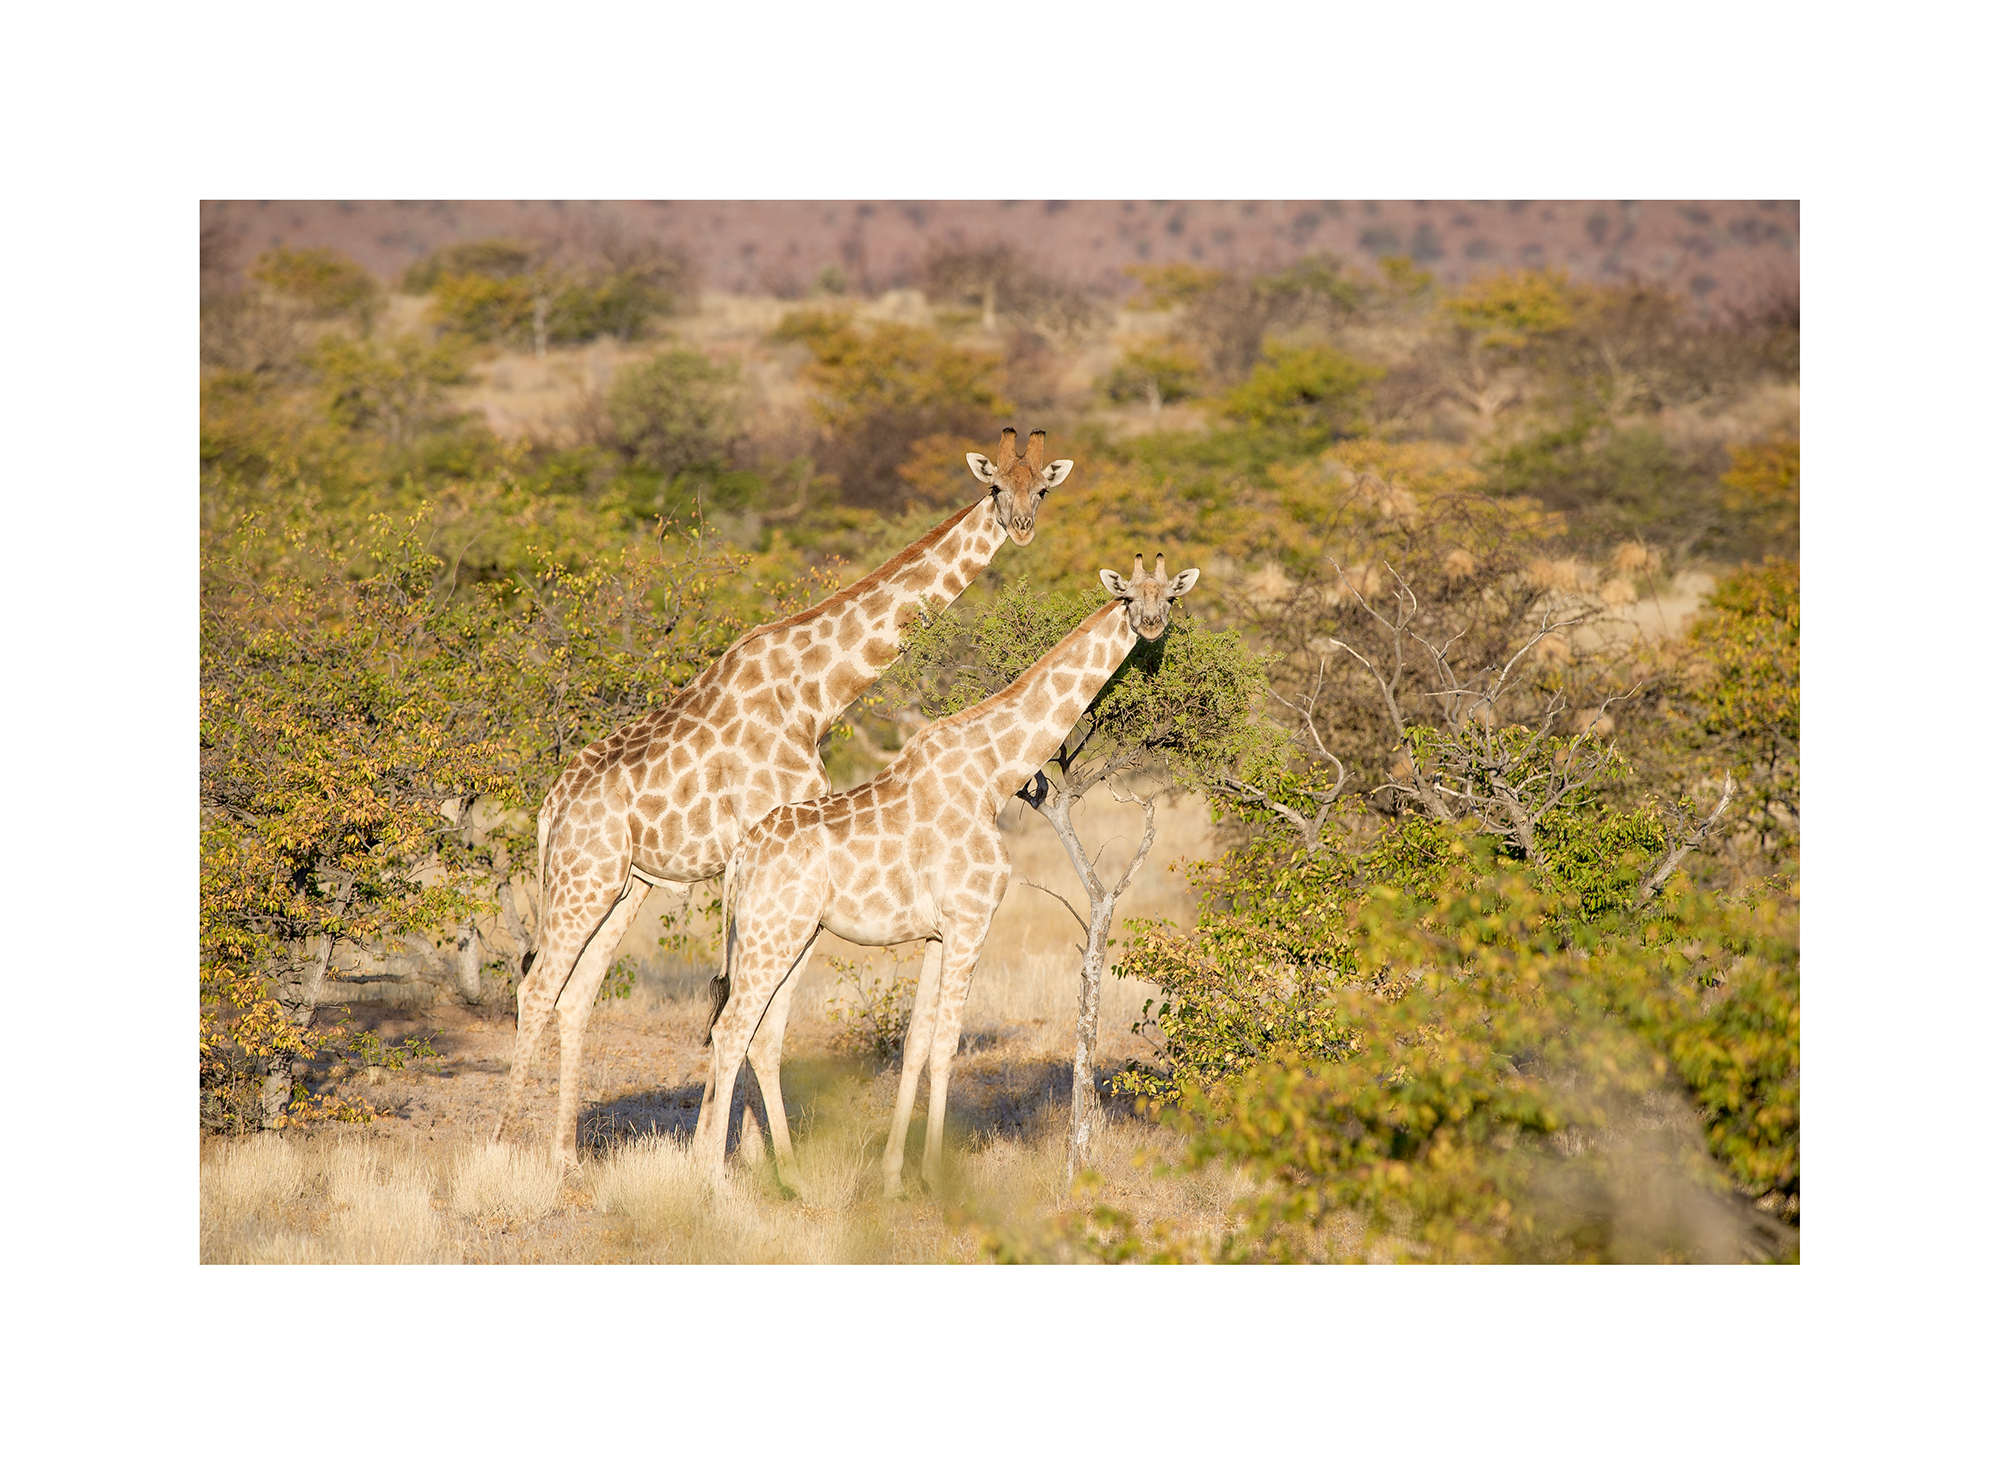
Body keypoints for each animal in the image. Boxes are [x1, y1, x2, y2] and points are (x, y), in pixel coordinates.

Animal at [494, 429, 1074, 1162]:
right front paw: (739, 1156)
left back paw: (566, 1156)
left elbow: (731, 1001)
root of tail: (550, 808)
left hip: (626, 885)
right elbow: (739, 1007)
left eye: (1043, 488)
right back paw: (498, 1149)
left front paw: (734, 1152)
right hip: (584, 876)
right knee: (538, 987)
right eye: (996, 485)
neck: (815, 692)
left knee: (575, 995)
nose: (1022, 528)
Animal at [696, 555, 1200, 1195]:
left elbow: (914, 1045)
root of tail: (740, 856)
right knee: (733, 1030)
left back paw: (794, 1179)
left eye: (1171, 597)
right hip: (775, 934)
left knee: (763, 1036)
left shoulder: (938, 931)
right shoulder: (971, 918)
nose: (1152, 624)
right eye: (1130, 596)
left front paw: (892, 1175)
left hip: (786, 936)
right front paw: (934, 1176)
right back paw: (716, 1185)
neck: (992, 773)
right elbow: (945, 1045)